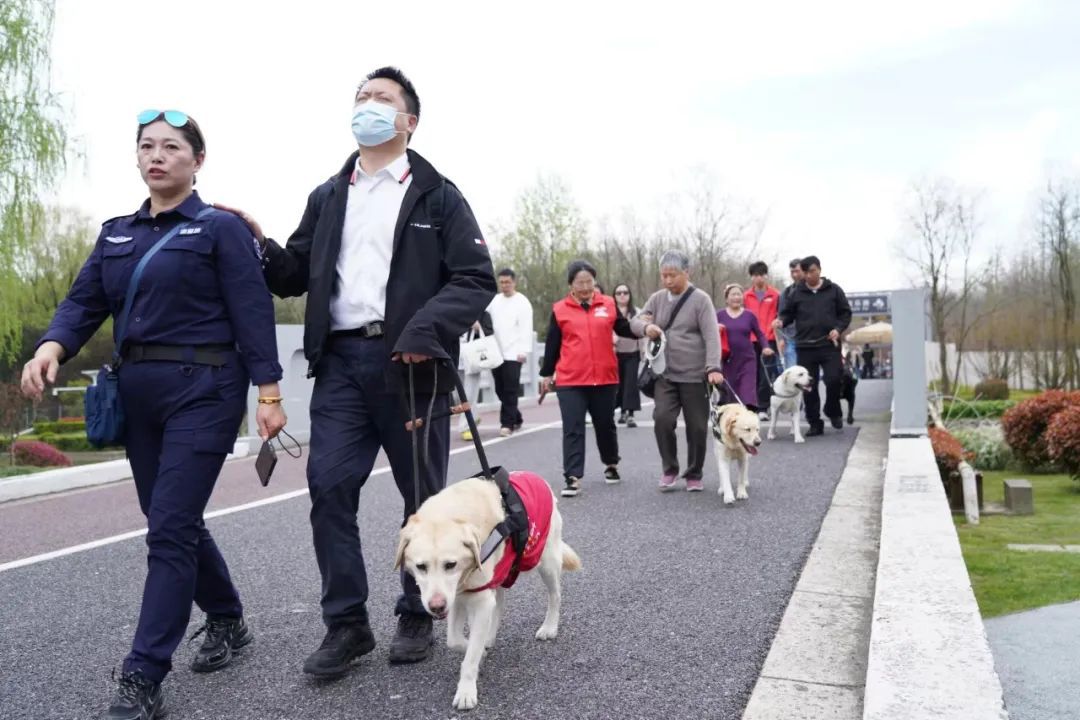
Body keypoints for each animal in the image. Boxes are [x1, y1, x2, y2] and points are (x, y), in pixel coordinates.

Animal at [397, 470, 583, 712]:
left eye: (450, 564)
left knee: (555, 596)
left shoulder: (476, 598)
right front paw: (478, 650)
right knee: (499, 604)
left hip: (545, 560)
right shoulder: (459, 596)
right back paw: (489, 636)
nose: (436, 606)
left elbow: (470, 654)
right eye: (421, 566)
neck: (452, 513)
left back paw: (549, 627)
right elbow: (455, 640)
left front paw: (466, 690)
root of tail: (534, 476)